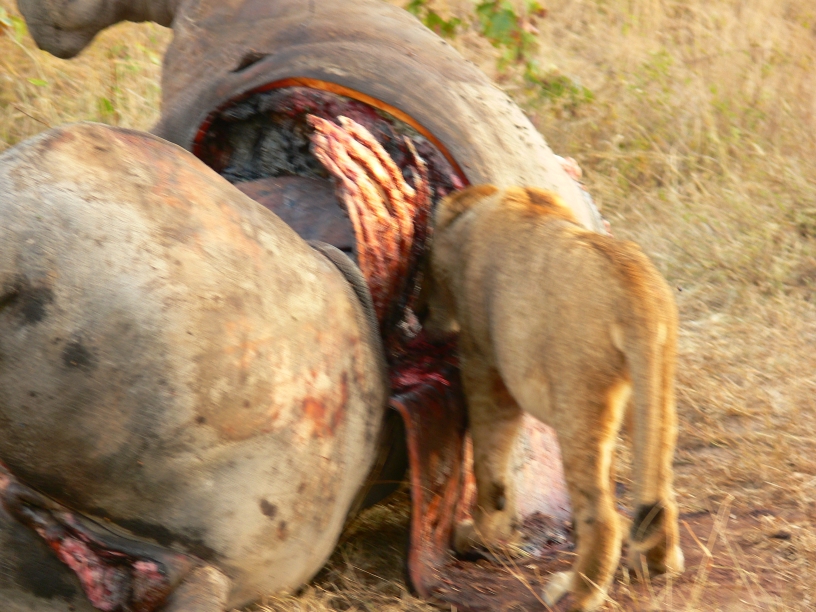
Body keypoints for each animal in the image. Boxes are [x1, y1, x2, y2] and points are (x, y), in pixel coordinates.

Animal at [421, 185, 684, 611]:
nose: (418, 311)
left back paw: (576, 592)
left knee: (603, 515)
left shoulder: (484, 365)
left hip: (579, 404)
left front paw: (478, 534)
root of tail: (635, 286)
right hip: (652, 392)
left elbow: (489, 462)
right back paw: (658, 563)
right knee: (660, 488)